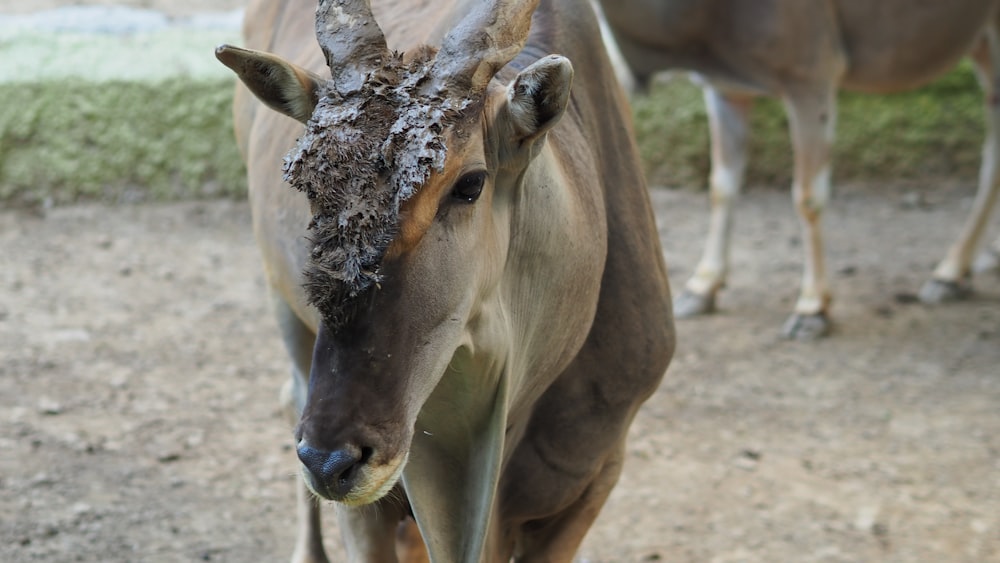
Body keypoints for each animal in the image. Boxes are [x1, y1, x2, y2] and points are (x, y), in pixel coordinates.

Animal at [215, 0, 676, 560]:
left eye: (470, 183)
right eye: (310, 185)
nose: (330, 460)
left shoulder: (594, 480)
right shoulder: (374, 506)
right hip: (282, 306)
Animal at [596, 0, 1000, 340]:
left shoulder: (810, 79)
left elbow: (807, 198)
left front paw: (812, 308)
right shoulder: (727, 90)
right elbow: (721, 186)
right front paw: (702, 287)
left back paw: (949, 272)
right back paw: (969, 265)